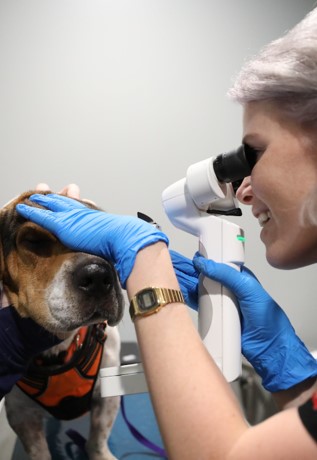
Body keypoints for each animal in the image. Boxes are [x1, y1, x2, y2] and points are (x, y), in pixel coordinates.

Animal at [0, 189, 123, 458]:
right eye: (34, 241)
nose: (99, 274)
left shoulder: (108, 397)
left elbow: (97, 439)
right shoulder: (21, 414)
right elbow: (39, 451)